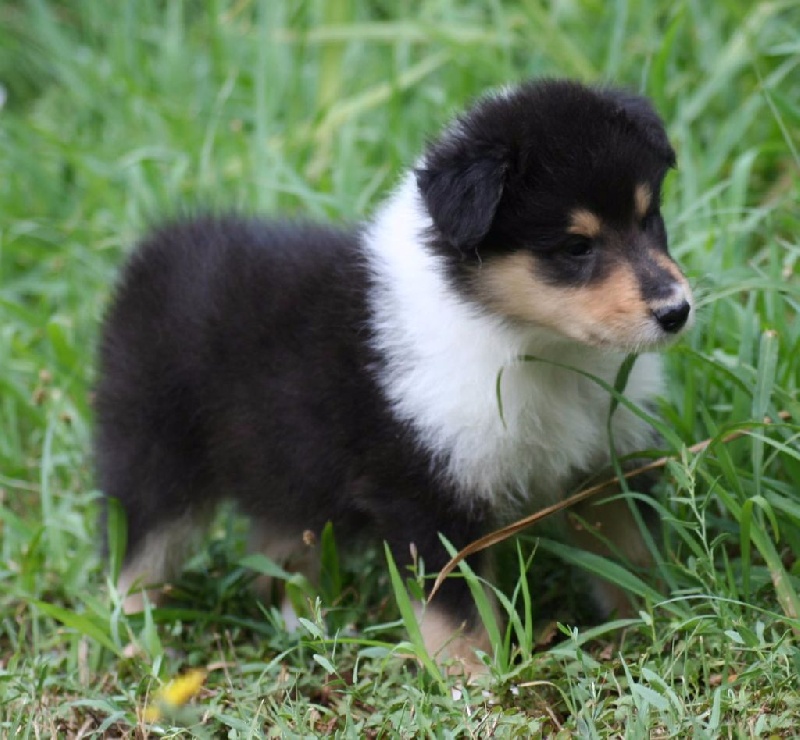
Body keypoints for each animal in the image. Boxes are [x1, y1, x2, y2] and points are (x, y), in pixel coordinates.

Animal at [95, 79, 693, 675]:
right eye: (576, 246)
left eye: (648, 219)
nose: (677, 311)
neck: (534, 345)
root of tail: (152, 256)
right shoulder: (424, 487)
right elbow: (457, 607)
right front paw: (475, 679)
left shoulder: (606, 461)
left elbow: (628, 548)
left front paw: (658, 618)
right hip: (154, 450)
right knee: (137, 549)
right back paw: (141, 639)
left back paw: (304, 620)